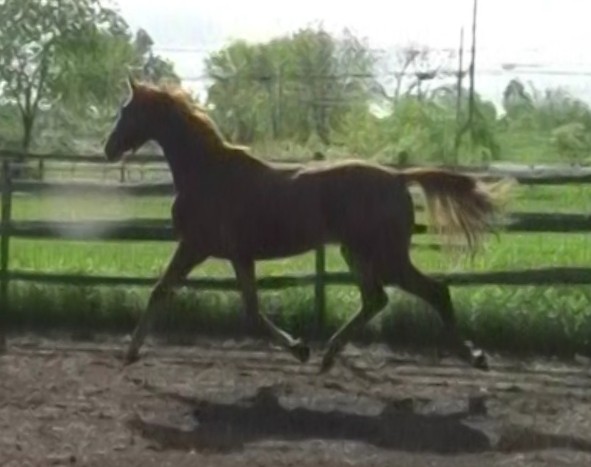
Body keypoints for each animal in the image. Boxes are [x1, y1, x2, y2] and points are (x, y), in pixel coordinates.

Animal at [104, 78, 512, 374]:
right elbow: (250, 310)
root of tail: (398, 177)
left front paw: (129, 352)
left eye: (127, 110)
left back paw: (475, 357)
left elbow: (161, 291)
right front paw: (300, 349)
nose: (108, 148)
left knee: (435, 292)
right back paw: (329, 355)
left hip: (386, 256)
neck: (208, 172)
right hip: (356, 253)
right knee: (376, 299)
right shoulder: (239, 256)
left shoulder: (196, 246)